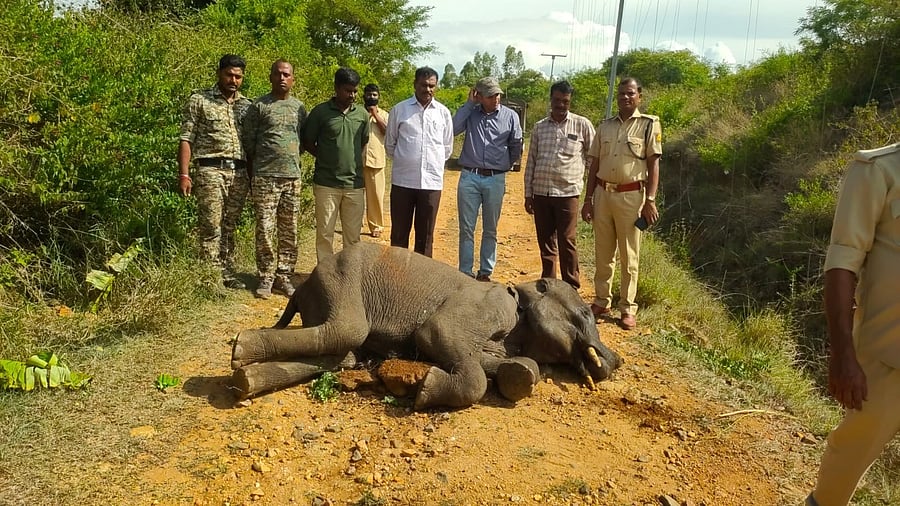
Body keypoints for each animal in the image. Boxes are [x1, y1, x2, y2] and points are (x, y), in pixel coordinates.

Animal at [230, 242, 623, 410]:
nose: (616, 360)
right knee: (345, 332)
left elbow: (499, 362)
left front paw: (519, 375)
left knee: (340, 355)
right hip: (340, 279)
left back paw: (245, 380)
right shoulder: (490, 304)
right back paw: (240, 349)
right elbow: (437, 333)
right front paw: (426, 390)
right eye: (586, 314)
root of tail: (303, 286)